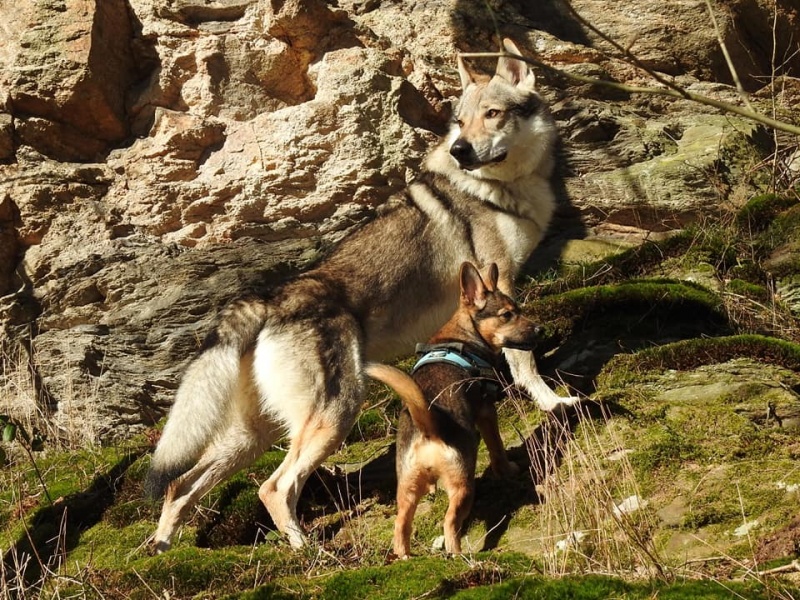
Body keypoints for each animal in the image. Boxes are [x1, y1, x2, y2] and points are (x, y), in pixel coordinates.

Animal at [366, 262, 540, 556]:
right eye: (507, 315)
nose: (539, 330)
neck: (462, 334)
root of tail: (429, 427)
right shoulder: (486, 412)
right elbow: (497, 447)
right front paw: (507, 469)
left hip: (406, 487)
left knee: (401, 525)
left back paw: (405, 556)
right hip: (462, 485)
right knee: (449, 523)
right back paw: (458, 554)